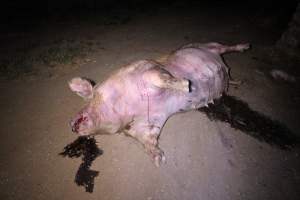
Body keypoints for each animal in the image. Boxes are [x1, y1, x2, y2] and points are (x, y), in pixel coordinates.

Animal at [69, 41, 250, 166]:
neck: (128, 107)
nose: (70, 126)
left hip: (209, 45)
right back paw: (238, 81)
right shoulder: (147, 123)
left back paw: (246, 46)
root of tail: (225, 68)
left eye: (89, 98)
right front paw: (159, 159)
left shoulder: (149, 68)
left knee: (225, 47)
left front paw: (186, 85)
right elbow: (148, 139)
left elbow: (161, 78)